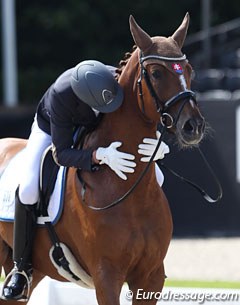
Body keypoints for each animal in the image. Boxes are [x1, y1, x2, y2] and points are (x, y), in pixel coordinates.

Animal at [0, 14, 204, 304]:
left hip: (36, 269)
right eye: (156, 73)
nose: (193, 127)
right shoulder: (107, 275)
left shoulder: (150, 276)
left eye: (188, 70)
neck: (129, 191)